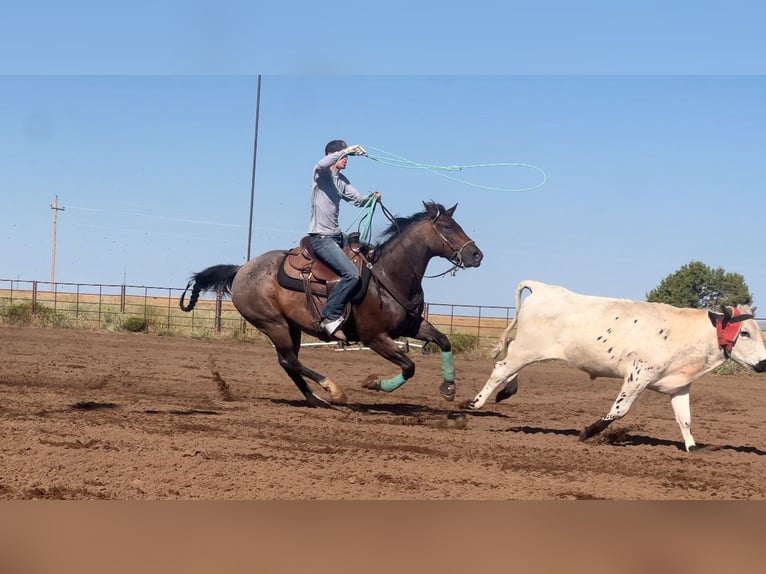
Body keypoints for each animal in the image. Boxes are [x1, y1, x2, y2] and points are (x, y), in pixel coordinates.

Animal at [179, 201, 483, 408]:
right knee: (289, 359)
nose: (476, 254)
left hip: (291, 327)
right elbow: (409, 366)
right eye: (447, 227)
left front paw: (448, 387)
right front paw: (374, 383)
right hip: (273, 324)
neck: (387, 274)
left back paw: (316, 399)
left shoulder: (410, 325)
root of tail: (241, 270)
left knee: (288, 362)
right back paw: (333, 390)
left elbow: (443, 340)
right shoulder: (375, 337)